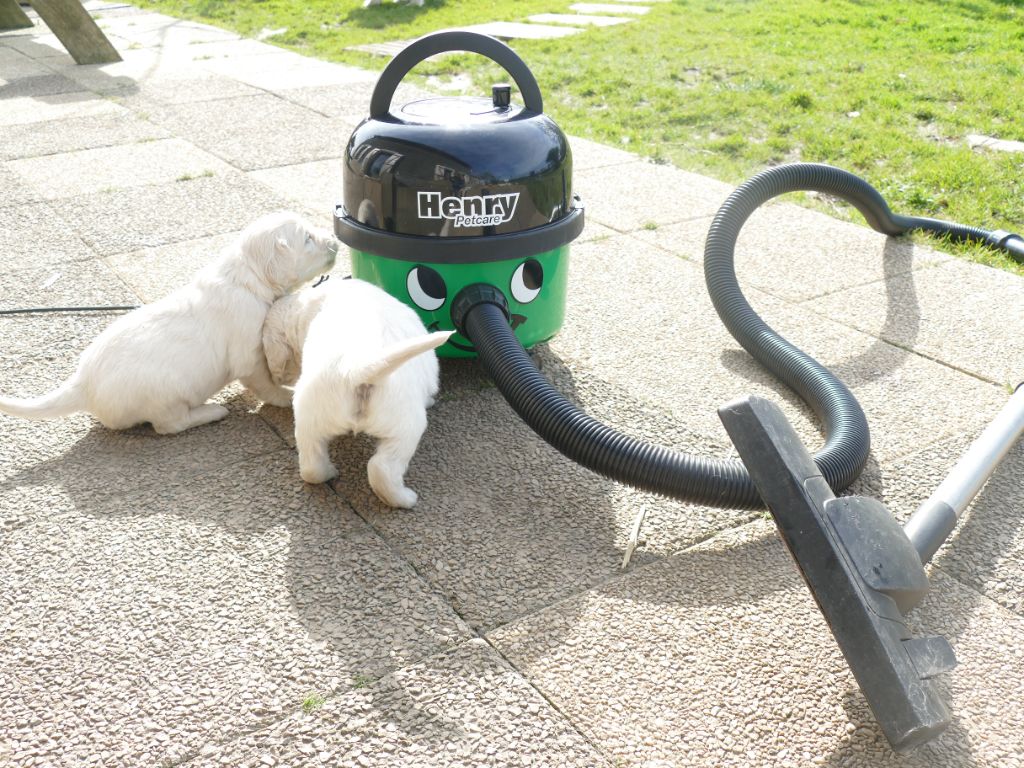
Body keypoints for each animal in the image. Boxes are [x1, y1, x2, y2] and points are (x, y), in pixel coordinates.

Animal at [0, 214, 337, 436]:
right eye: (307, 238)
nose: (334, 240)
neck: (247, 280)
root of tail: (82, 383)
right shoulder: (248, 356)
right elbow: (265, 382)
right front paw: (285, 396)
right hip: (165, 395)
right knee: (169, 425)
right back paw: (212, 411)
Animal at [264, 280, 452, 507]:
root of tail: (355, 369)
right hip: (406, 425)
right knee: (382, 467)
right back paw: (404, 499)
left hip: (311, 415)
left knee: (311, 465)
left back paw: (328, 472)